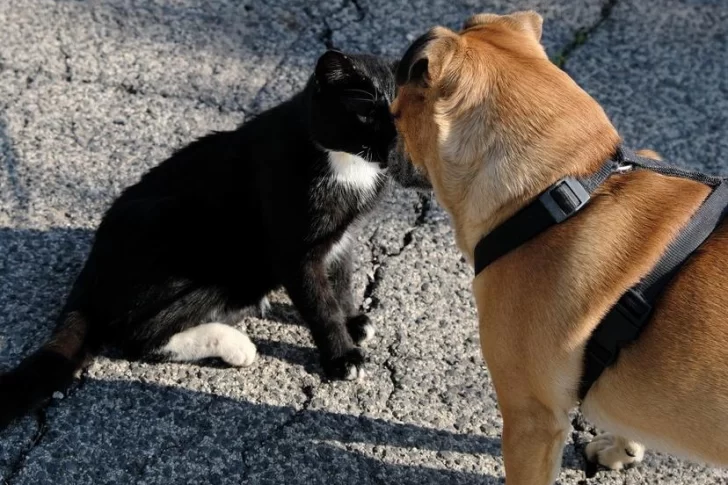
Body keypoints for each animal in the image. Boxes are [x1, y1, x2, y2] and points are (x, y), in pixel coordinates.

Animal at [0, 50, 426, 428]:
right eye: (366, 112)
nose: (397, 139)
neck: (347, 167)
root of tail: (90, 275)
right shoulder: (294, 250)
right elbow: (319, 304)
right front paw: (342, 356)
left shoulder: (342, 238)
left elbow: (341, 281)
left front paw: (353, 319)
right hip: (203, 255)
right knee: (138, 336)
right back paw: (236, 344)